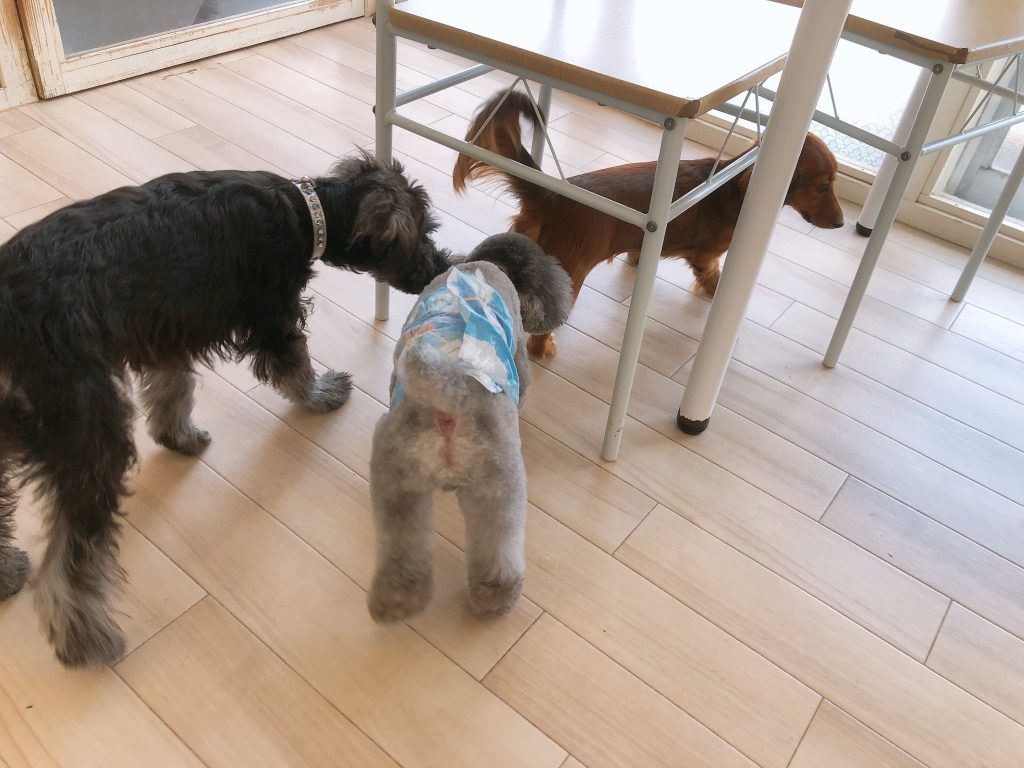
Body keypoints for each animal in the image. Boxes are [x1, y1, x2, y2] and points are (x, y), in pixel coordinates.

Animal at [0, 151, 450, 667]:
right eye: (424, 232)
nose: (443, 264)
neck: (307, 211)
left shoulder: (172, 327)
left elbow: (172, 389)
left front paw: (179, 436)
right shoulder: (273, 315)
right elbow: (294, 367)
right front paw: (321, 394)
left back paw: (8, 574)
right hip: (86, 428)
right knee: (69, 558)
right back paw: (85, 641)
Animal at [367, 232, 572, 622]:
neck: (486, 265)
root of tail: (448, 396)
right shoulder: (520, 362)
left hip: (397, 486)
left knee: (402, 546)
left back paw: (397, 599)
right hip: (499, 485)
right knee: (498, 547)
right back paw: (496, 597)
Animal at [454, 90, 845, 358]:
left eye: (834, 182)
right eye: (821, 186)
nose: (842, 224)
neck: (734, 187)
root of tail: (552, 195)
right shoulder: (706, 255)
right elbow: (713, 276)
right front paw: (719, 299)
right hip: (570, 272)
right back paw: (543, 348)